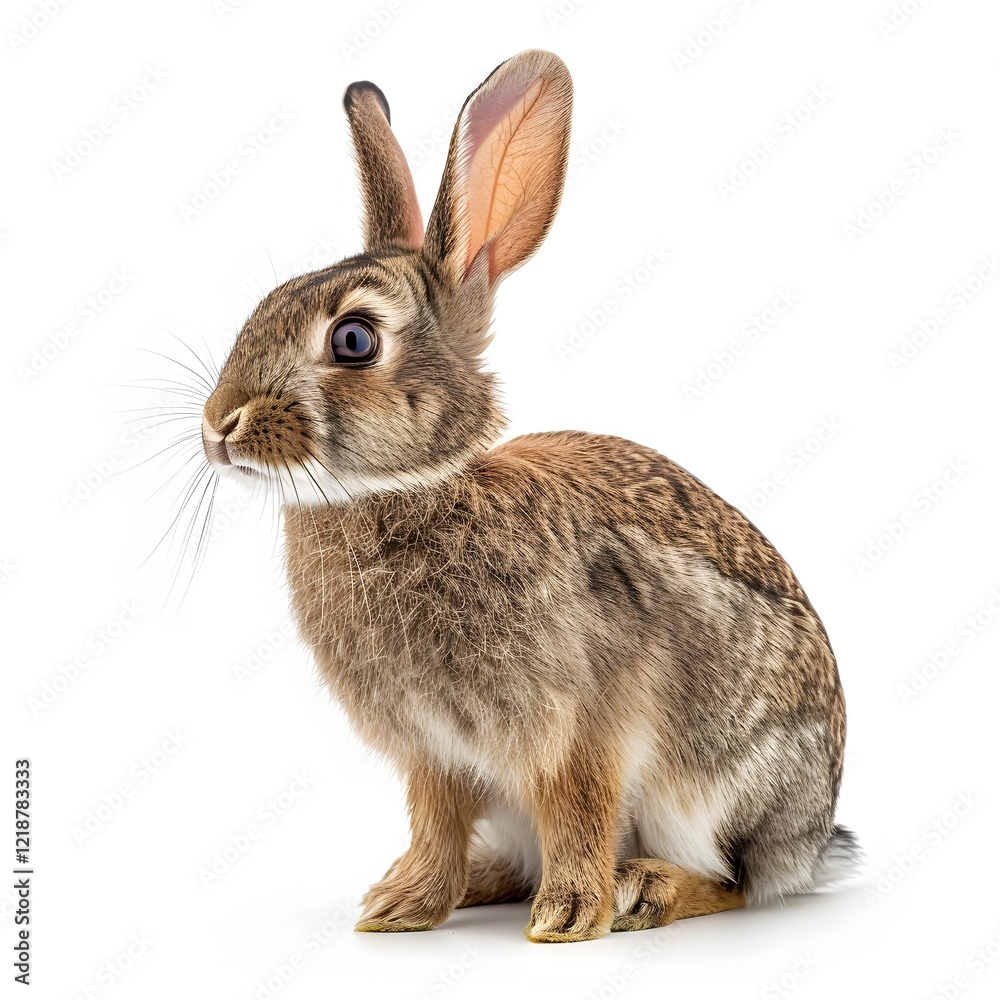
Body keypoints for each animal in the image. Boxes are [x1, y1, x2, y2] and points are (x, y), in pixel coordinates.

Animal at [199, 49, 859, 942]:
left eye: (354, 339)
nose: (218, 426)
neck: (417, 489)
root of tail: (813, 841)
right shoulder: (434, 752)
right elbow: (435, 822)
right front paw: (402, 906)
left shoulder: (580, 727)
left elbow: (579, 809)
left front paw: (569, 917)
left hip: (716, 790)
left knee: (734, 879)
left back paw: (641, 891)